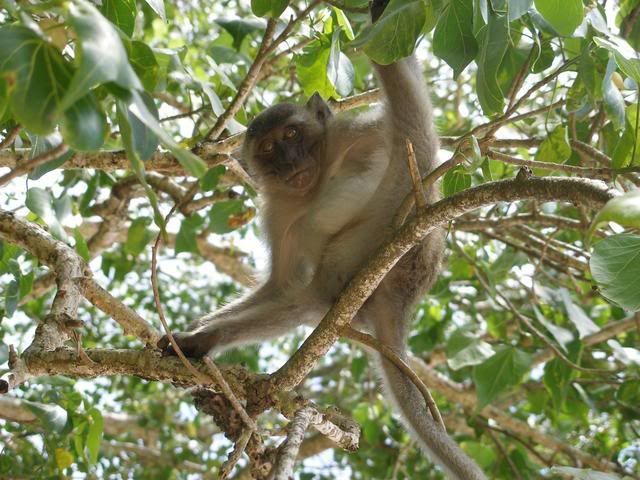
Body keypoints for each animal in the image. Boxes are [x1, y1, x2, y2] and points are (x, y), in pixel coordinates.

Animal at [159, 1, 484, 478]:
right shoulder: (275, 212)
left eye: (293, 135)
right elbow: (279, 285)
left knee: (410, 142)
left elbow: (419, 139)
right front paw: (197, 334)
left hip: (387, 229)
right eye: (270, 148)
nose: (291, 159)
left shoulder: (355, 131)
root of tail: (404, 298)